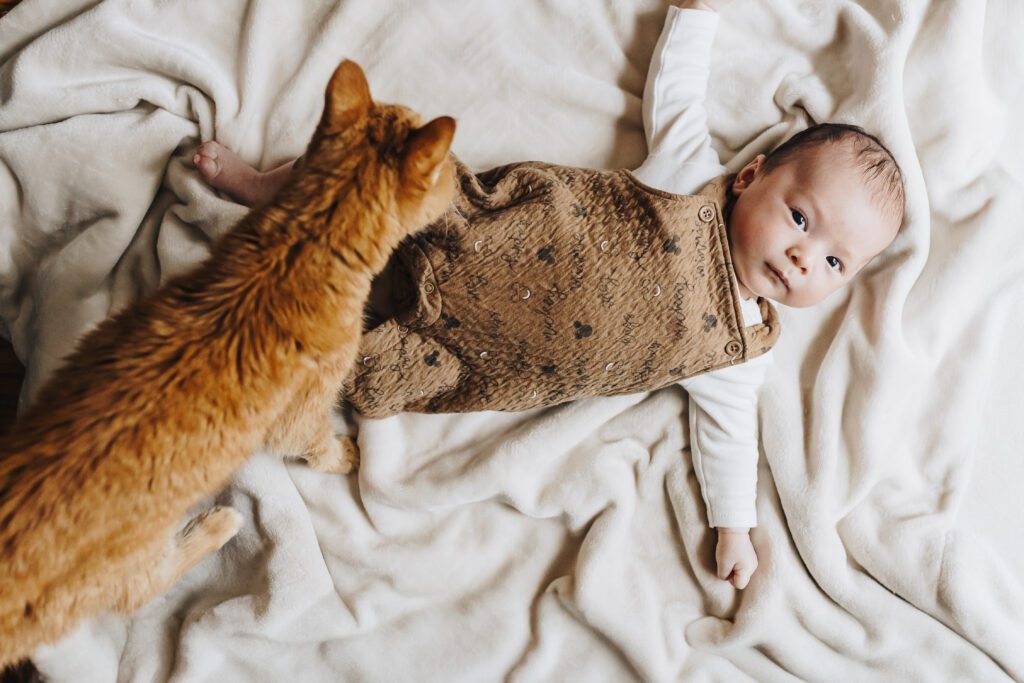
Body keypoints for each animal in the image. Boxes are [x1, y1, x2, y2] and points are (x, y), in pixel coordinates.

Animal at [0, 60, 456, 667]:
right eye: (447, 170)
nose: (461, 175)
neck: (303, 242)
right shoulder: (301, 410)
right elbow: (314, 443)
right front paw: (345, 454)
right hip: (128, 564)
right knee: (141, 588)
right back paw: (216, 525)